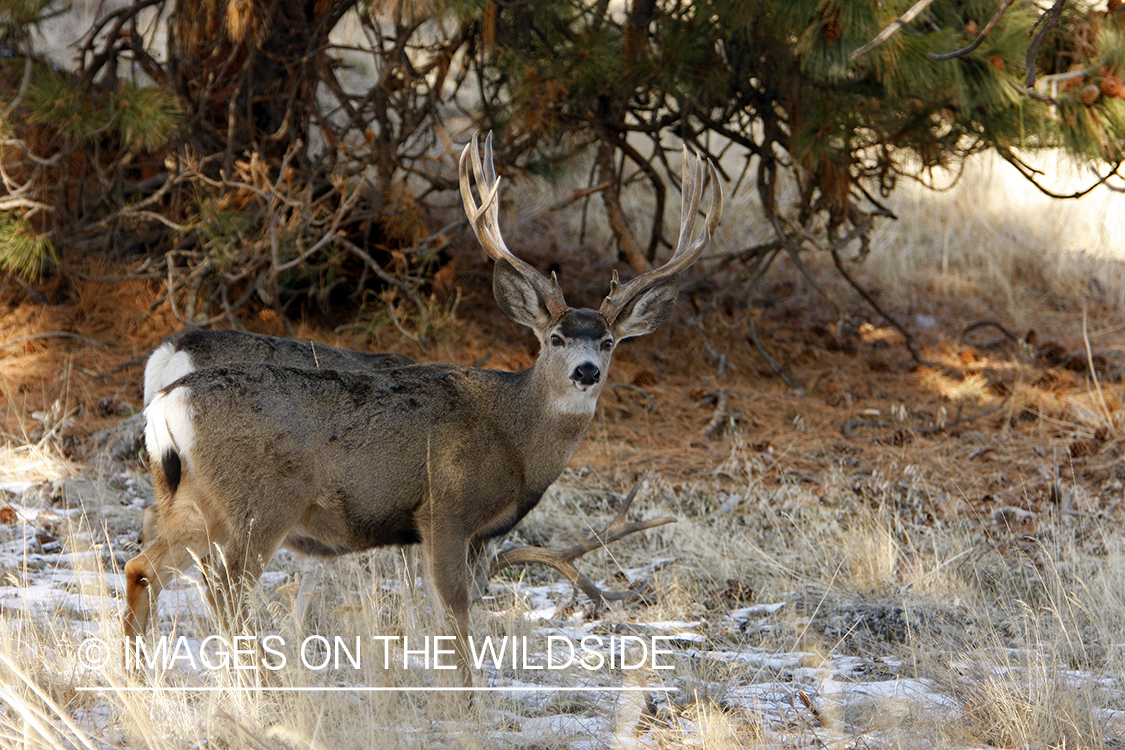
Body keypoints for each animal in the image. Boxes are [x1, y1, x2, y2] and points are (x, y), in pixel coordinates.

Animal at [126, 133, 722, 686]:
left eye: (609, 342)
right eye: (555, 338)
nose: (586, 372)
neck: (513, 438)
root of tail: (167, 401)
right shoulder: (444, 508)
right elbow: (453, 615)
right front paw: (464, 698)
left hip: (194, 499)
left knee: (142, 567)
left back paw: (140, 675)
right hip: (260, 501)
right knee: (222, 588)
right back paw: (264, 684)